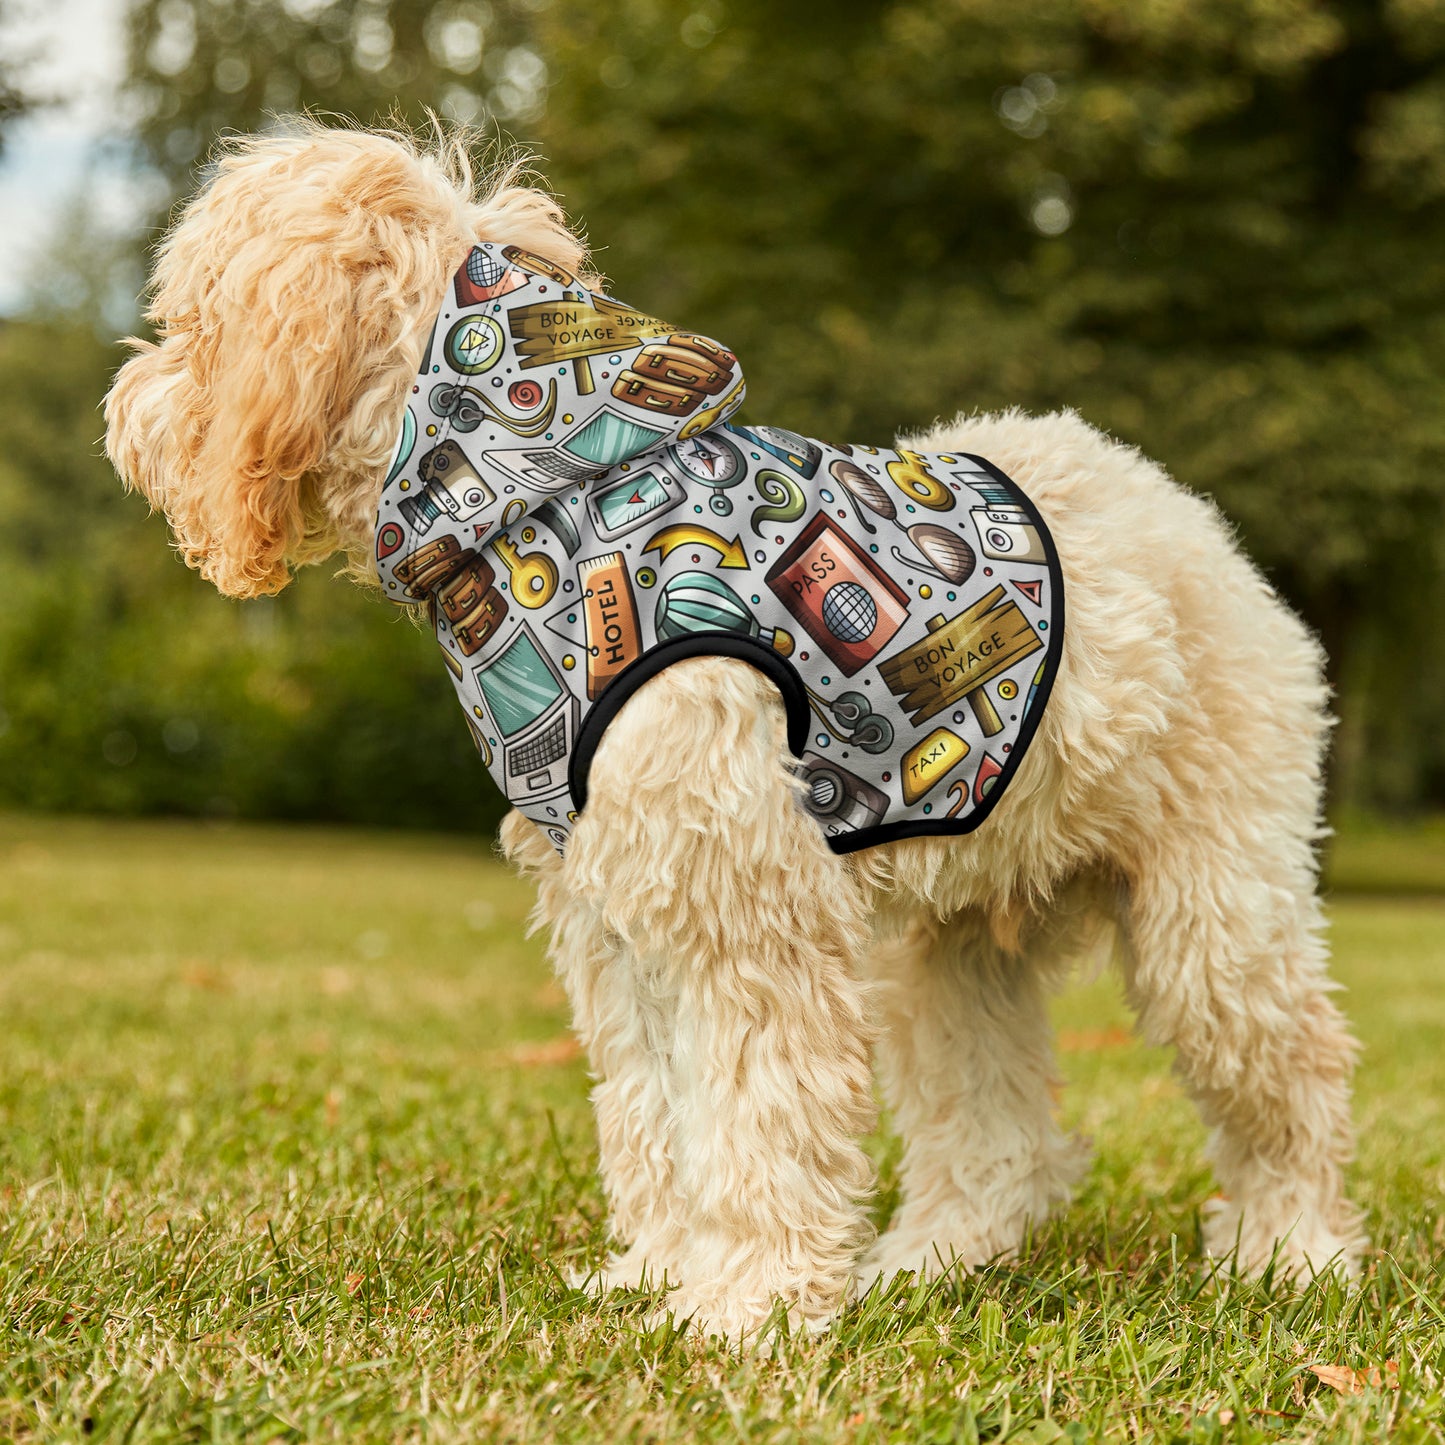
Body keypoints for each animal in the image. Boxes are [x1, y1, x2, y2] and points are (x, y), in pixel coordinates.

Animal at [104, 124, 1364, 1340]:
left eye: (191, 320)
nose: (123, 408)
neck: (548, 498)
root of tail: (1187, 516)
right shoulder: (617, 915)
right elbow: (656, 1113)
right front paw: (661, 1274)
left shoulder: (744, 907)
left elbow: (758, 1113)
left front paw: (746, 1305)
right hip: (948, 949)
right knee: (995, 1133)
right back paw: (929, 1260)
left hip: (1213, 913)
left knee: (1293, 1075)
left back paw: (1290, 1252)